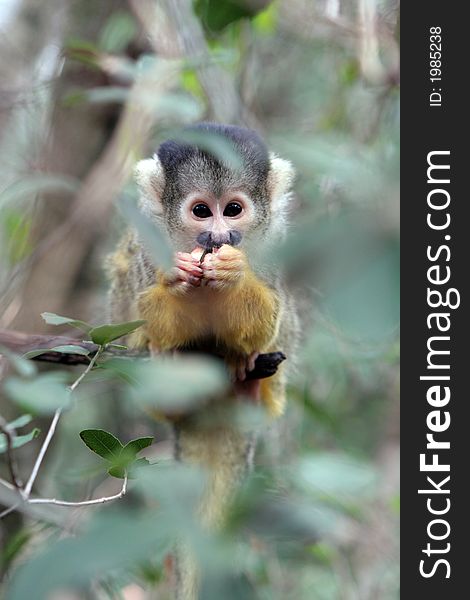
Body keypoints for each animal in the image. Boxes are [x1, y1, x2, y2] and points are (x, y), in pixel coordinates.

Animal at [106, 123, 298, 600]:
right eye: (200, 211)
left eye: (232, 210)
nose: (217, 237)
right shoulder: (147, 243)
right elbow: (146, 306)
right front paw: (176, 283)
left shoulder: (275, 244)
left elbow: (268, 318)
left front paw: (234, 276)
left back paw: (247, 383)